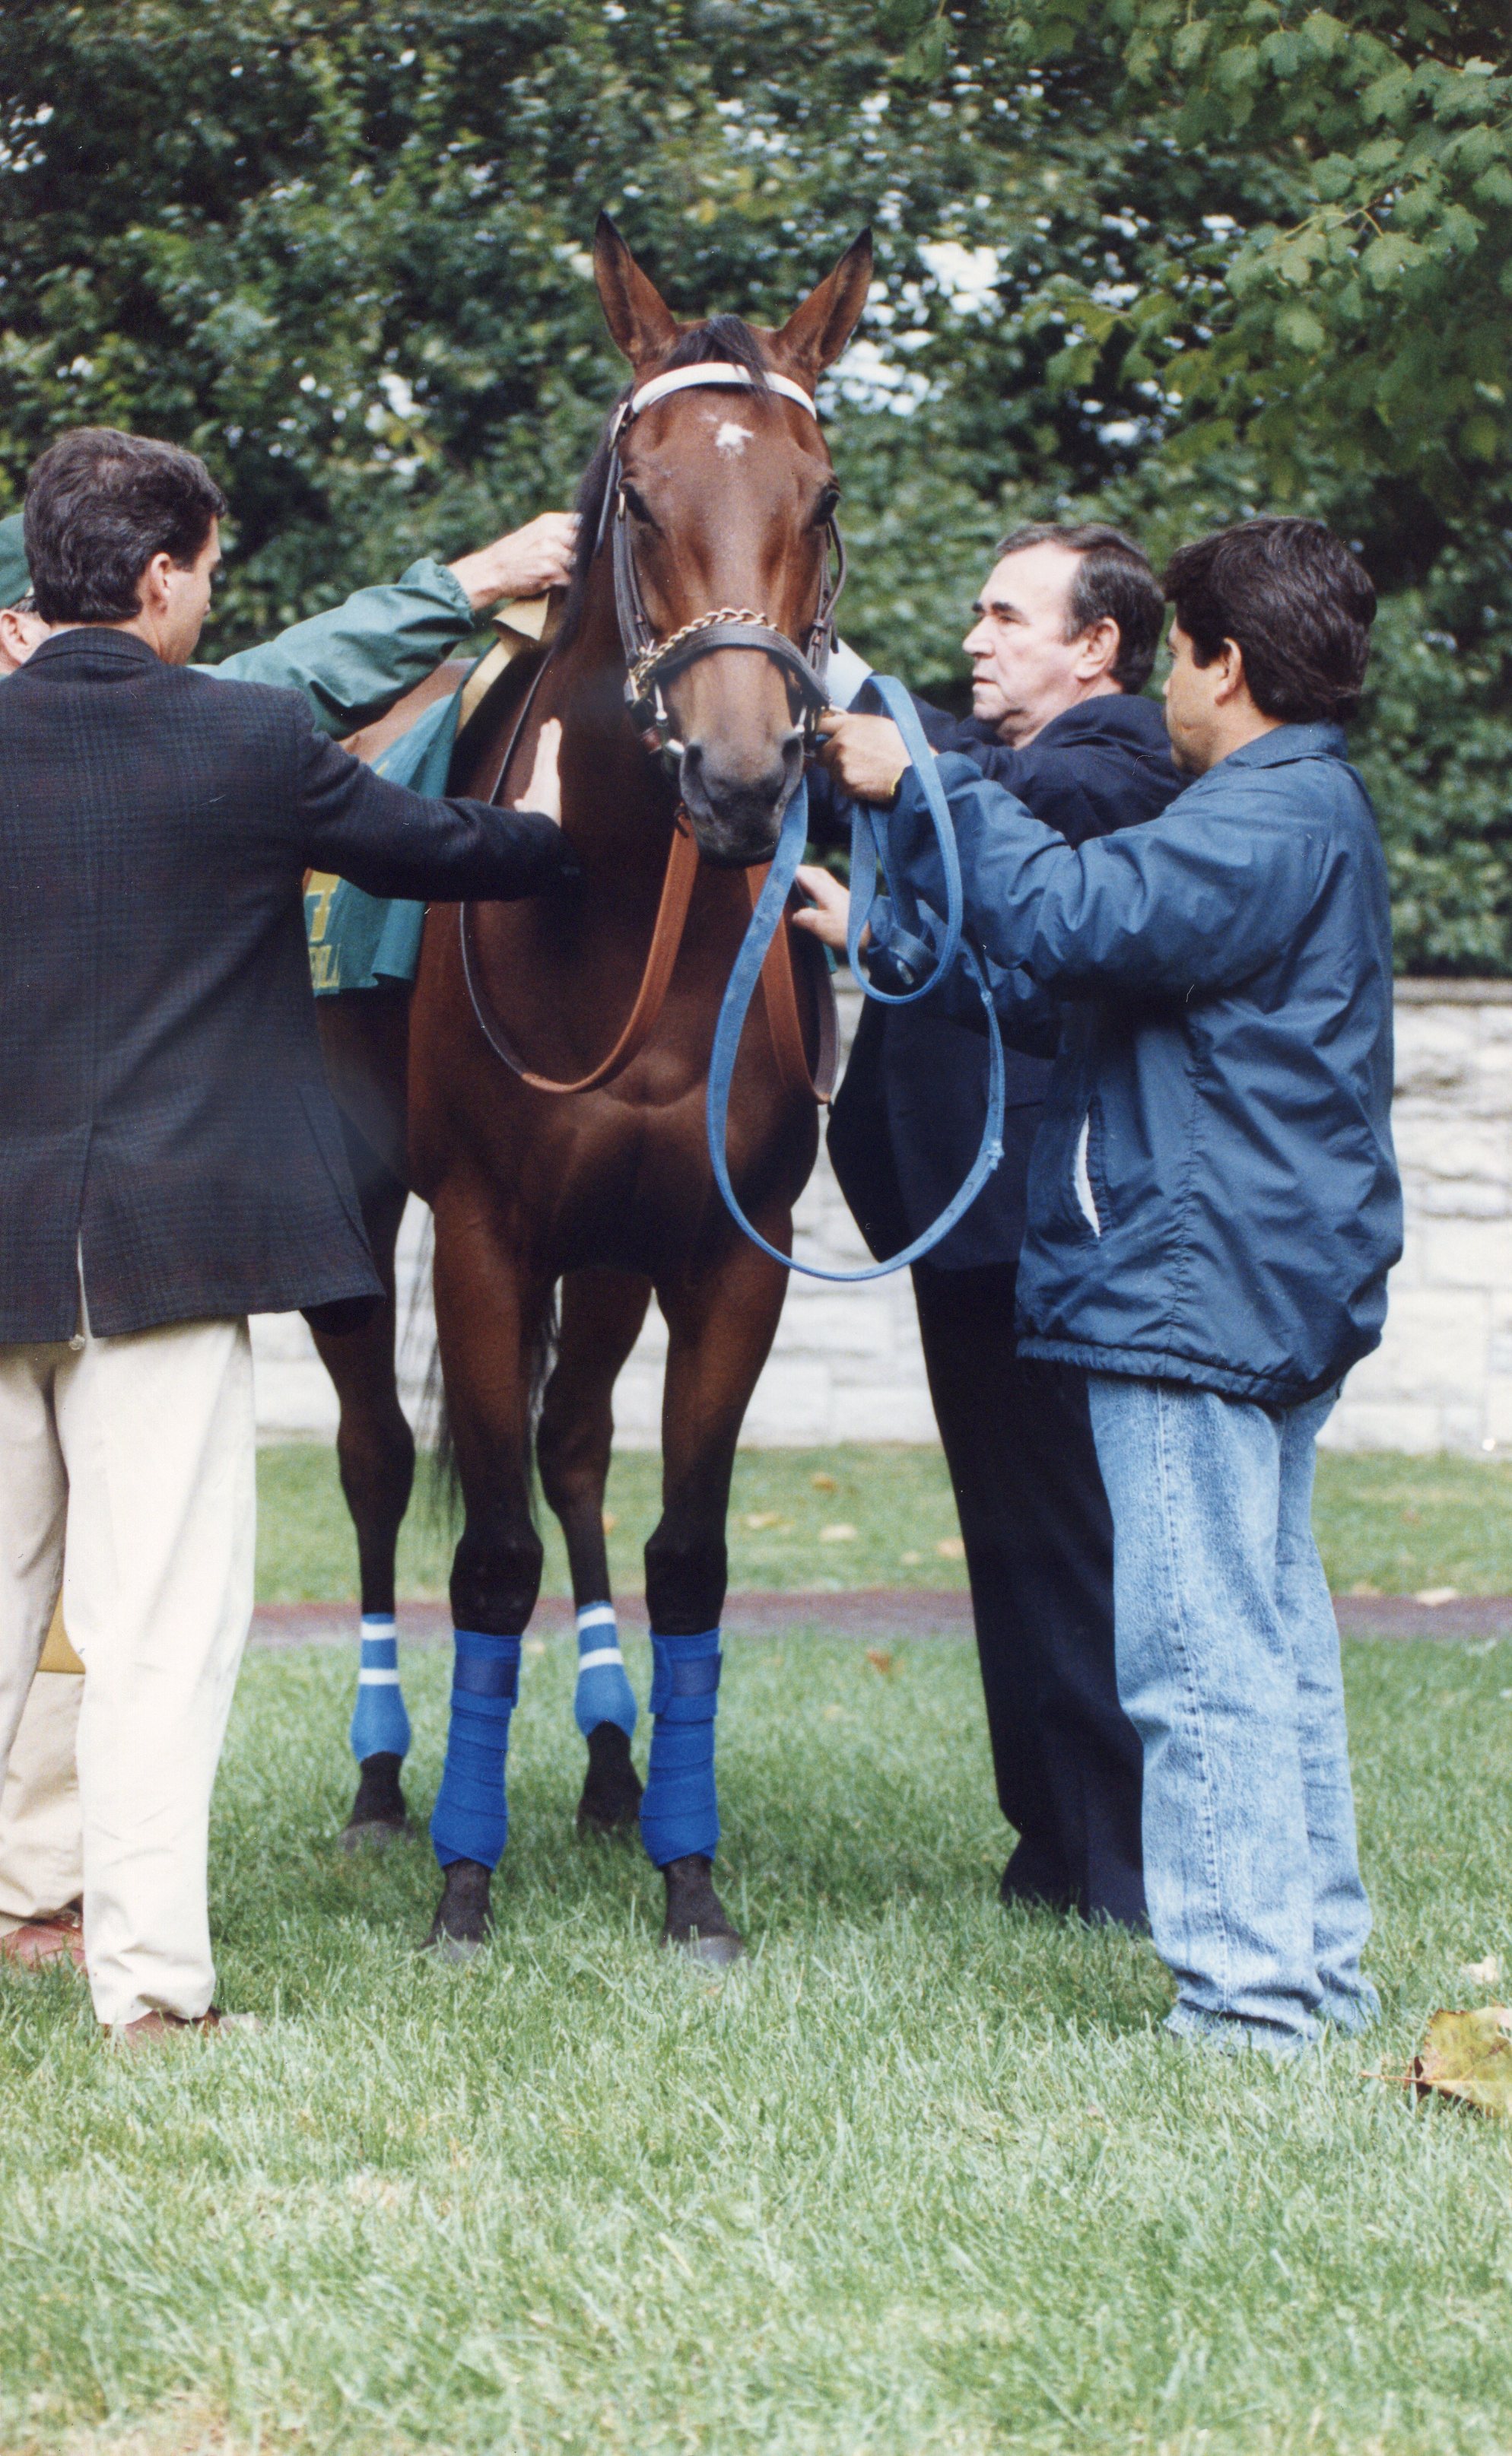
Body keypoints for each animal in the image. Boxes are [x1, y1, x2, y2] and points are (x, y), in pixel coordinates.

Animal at [311, 221, 869, 1965]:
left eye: (821, 495)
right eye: (637, 497)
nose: (745, 779)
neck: (622, 916)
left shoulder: (725, 1252)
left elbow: (683, 1551)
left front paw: (690, 1875)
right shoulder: (488, 1239)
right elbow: (486, 1559)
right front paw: (462, 1883)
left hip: (613, 1255)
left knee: (568, 1450)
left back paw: (617, 1765)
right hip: (358, 1227)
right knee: (376, 1461)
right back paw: (382, 1784)